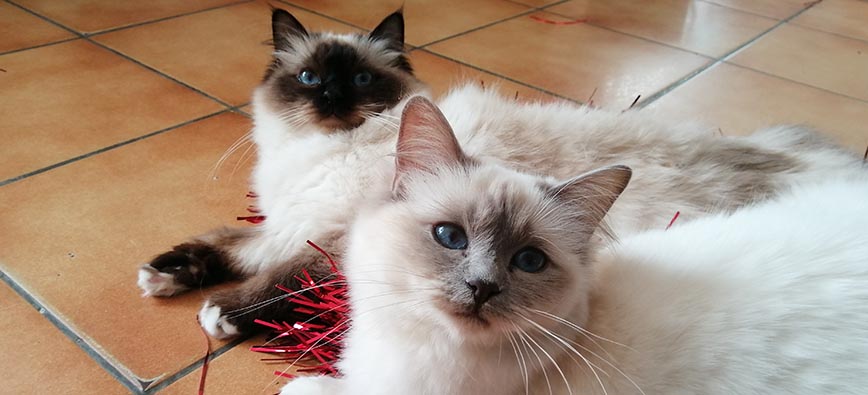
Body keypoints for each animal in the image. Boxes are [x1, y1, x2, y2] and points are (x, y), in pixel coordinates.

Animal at [139, 72, 856, 340]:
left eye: (363, 85)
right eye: (311, 81)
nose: (336, 108)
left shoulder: (332, 238)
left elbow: (279, 277)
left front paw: (222, 313)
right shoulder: (293, 221)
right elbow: (228, 244)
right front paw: (164, 273)